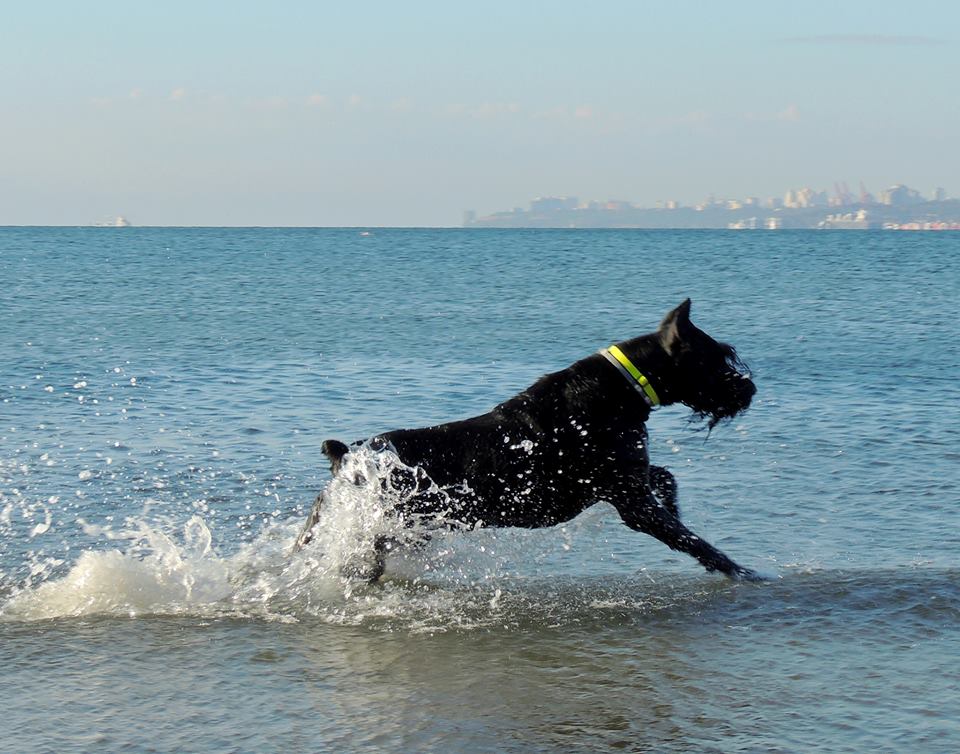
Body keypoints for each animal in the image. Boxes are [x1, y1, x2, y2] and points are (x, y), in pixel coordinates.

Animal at [295, 299, 758, 582]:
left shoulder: (631, 478)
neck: (622, 390)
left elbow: (665, 476)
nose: (749, 388)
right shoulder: (632, 503)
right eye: (717, 359)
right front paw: (738, 570)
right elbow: (691, 540)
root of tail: (347, 459)